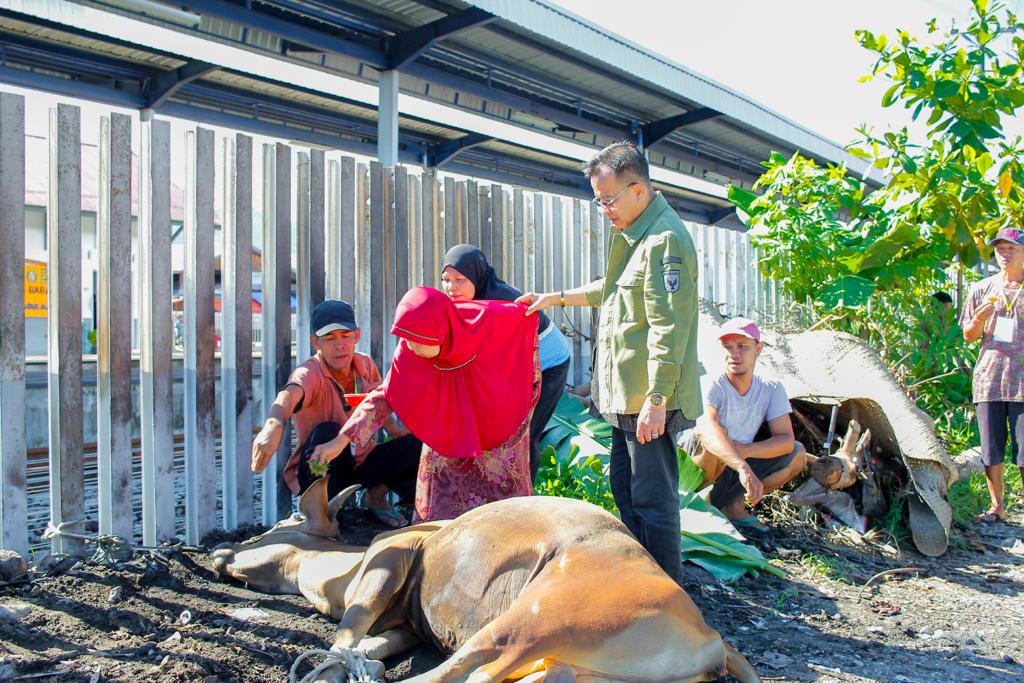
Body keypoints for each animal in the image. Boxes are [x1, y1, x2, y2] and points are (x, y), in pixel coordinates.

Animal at [211, 481, 761, 683]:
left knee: (457, 675)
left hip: (526, 626)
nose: (221, 551)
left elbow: (349, 630)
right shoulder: (407, 628)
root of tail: (713, 639)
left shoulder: (391, 559)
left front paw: (330, 669)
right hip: (571, 666)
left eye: (277, 525)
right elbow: (371, 646)